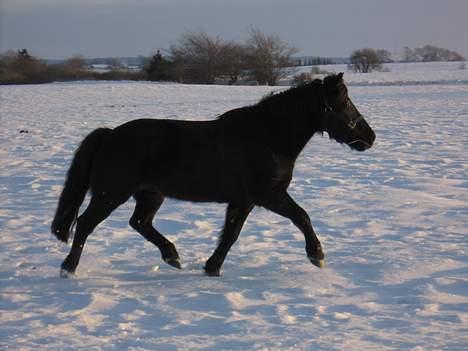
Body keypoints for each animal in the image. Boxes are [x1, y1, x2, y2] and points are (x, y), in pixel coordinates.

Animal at [51, 73, 374, 278]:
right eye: (344, 103)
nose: (370, 137)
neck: (267, 137)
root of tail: (109, 135)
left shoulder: (243, 201)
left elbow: (231, 234)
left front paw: (212, 267)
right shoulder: (269, 195)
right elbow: (302, 216)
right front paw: (316, 256)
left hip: (150, 194)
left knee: (139, 223)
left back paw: (172, 256)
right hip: (112, 194)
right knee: (85, 223)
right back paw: (68, 268)